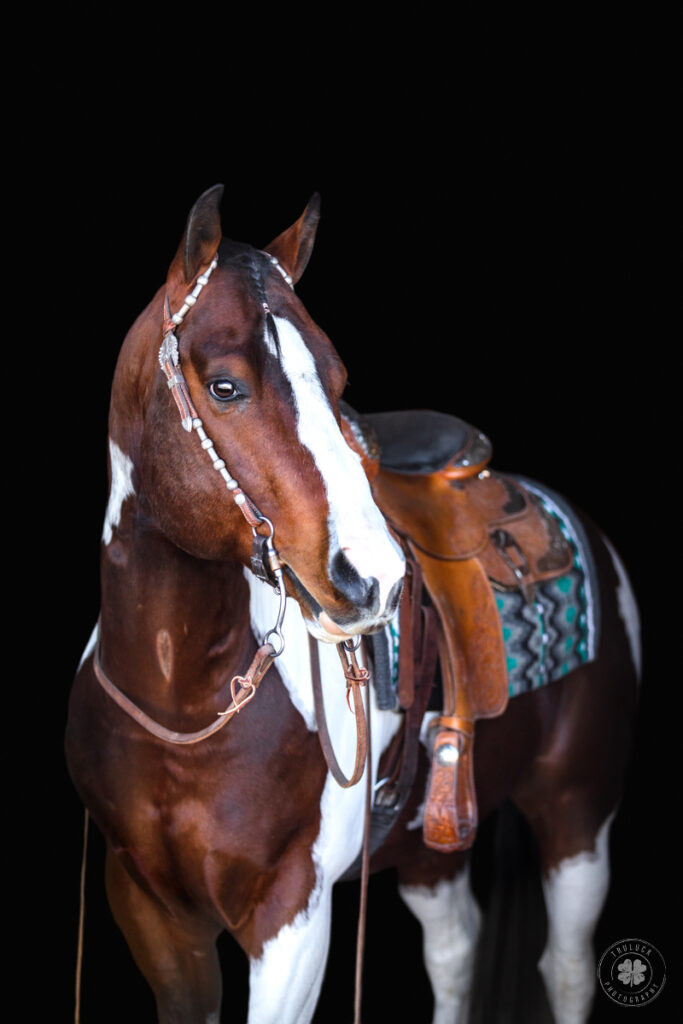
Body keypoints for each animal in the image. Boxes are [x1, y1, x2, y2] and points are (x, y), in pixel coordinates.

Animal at [63, 186, 643, 1024]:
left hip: (578, 813)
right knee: (454, 948)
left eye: (337, 381)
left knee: (564, 968)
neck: (182, 706)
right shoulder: (148, 910)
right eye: (225, 385)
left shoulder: (291, 917)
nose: (375, 577)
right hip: (431, 843)